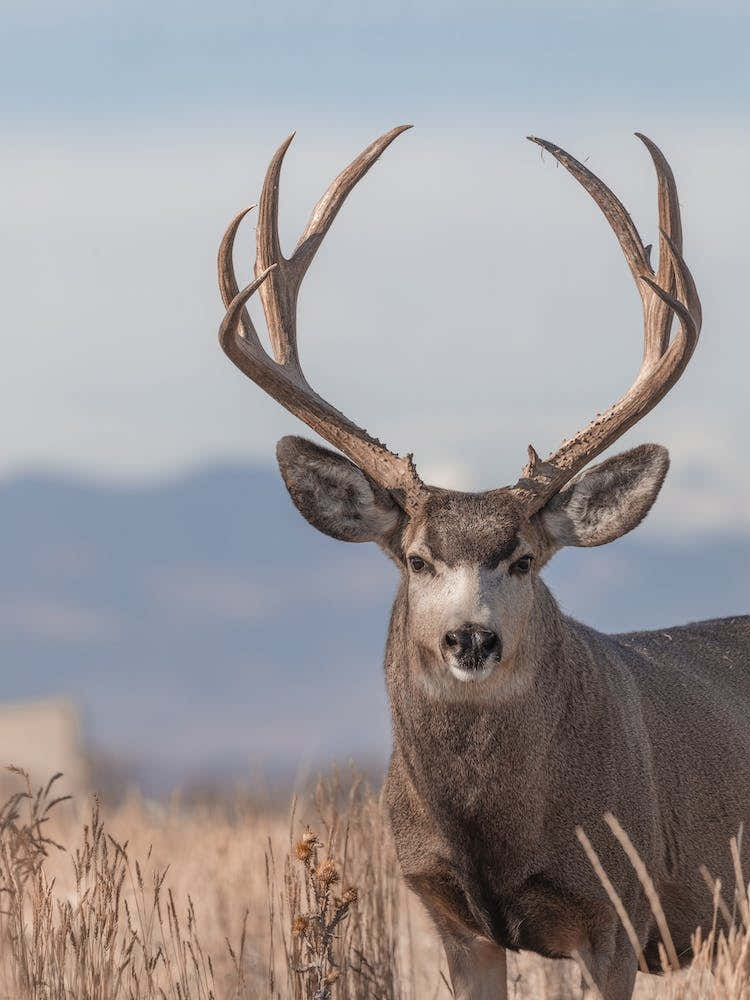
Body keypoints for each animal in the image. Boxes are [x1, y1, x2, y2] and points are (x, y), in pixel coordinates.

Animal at [216, 126, 750, 999]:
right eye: (416, 559)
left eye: (525, 559)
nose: (471, 637)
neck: (495, 836)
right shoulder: (447, 913)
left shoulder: (615, 908)